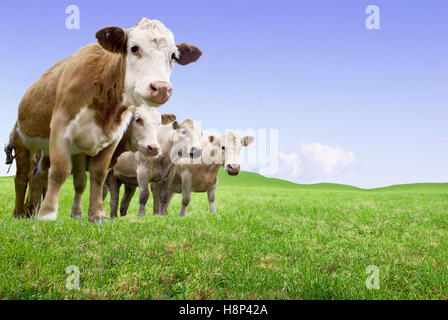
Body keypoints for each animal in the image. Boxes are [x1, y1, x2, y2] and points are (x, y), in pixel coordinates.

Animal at [10, 17, 201, 222]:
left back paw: (31, 210)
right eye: (134, 48)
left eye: (173, 56)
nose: (162, 88)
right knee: (22, 177)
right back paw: (19, 213)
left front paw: (95, 215)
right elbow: (61, 170)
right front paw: (48, 214)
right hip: (23, 143)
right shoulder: (62, 130)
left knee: (39, 176)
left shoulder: (109, 141)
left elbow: (96, 177)